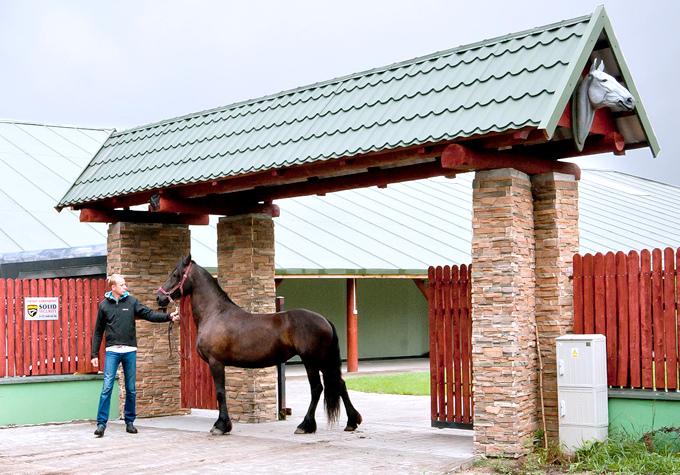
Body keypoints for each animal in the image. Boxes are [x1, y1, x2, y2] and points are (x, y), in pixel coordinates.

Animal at [159, 255, 362, 436]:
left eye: (176, 274)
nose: (159, 298)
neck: (215, 313)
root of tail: (324, 320)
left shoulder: (216, 362)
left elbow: (220, 393)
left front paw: (221, 426)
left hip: (312, 360)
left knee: (317, 388)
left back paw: (305, 426)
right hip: (323, 361)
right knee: (339, 383)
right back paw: (351, 422)